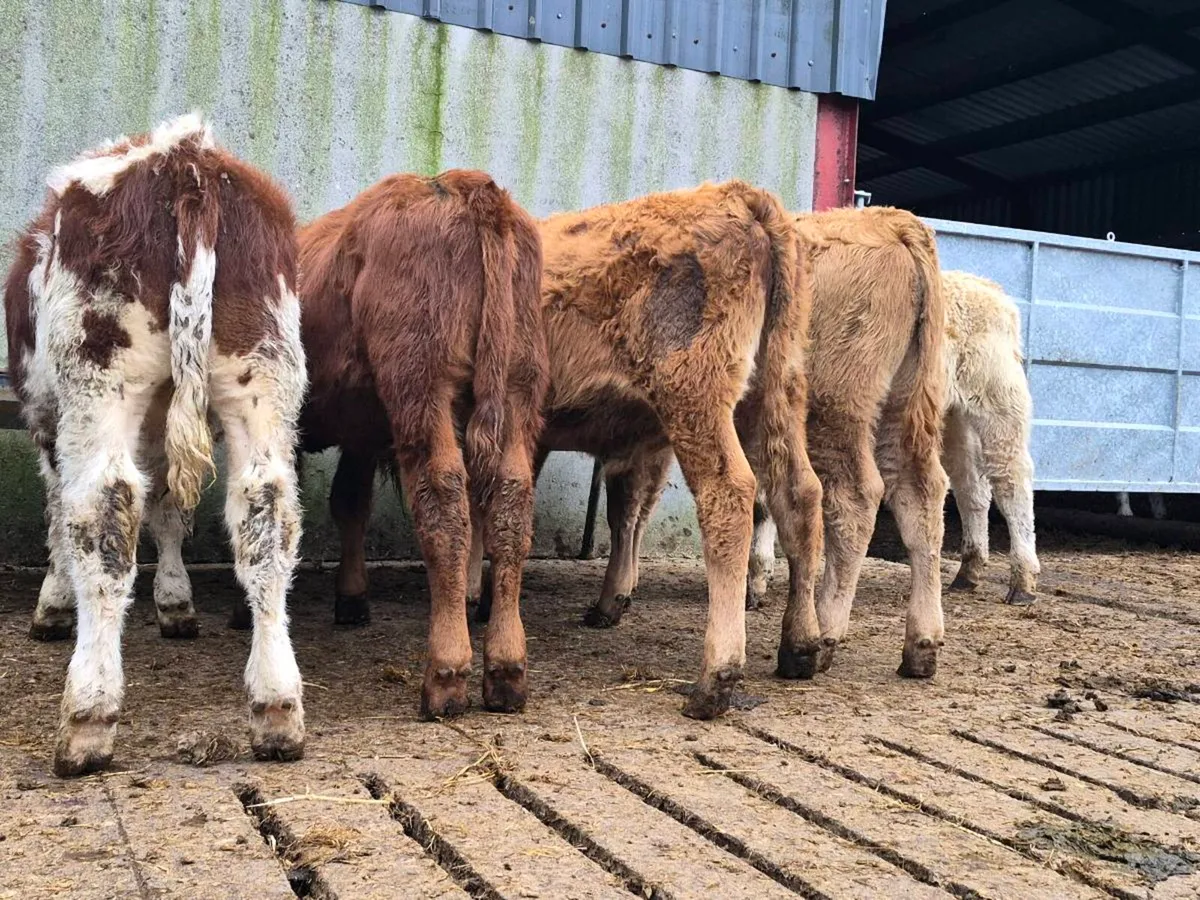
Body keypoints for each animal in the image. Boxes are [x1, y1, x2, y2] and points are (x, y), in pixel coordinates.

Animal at [5, 113, 308, 776]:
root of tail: (185, 155)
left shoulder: (45, 418)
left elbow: (59, 513)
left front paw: (53, 602)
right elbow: (171, 509)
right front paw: (176, 601)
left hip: (99, 374)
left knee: (104, 508)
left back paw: (88, 714)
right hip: (263, 374)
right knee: (266, 512)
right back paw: (277, 706)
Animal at [287, 170, 548, 720]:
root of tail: (465, 187)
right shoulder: (361, 433)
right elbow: (350, 504)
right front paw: (352, 599)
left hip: (422, 391)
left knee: (443, 508)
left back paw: (446, 674)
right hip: (518, 391)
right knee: (511, 510)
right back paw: (507, 669)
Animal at [469, 181, 825, 718]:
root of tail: (741, 198)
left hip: (696, 394)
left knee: (730, 496)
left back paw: (715, 678)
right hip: (775, 394)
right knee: (799, 494)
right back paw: (800, 646)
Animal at [529, 206, 949, 678]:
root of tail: (892, 222)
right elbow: (629, 508)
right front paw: (615, 596)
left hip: (830, 412)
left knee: (850, 499)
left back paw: (821, 633)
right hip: (893, 406)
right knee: (914, 495)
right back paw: (915, 645)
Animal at [940, 270, 1039, 604]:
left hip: (999, 405)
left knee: (1011, 479)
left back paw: (1022, 582)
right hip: (953, 418)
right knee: (971, 486)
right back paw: (967, 571)